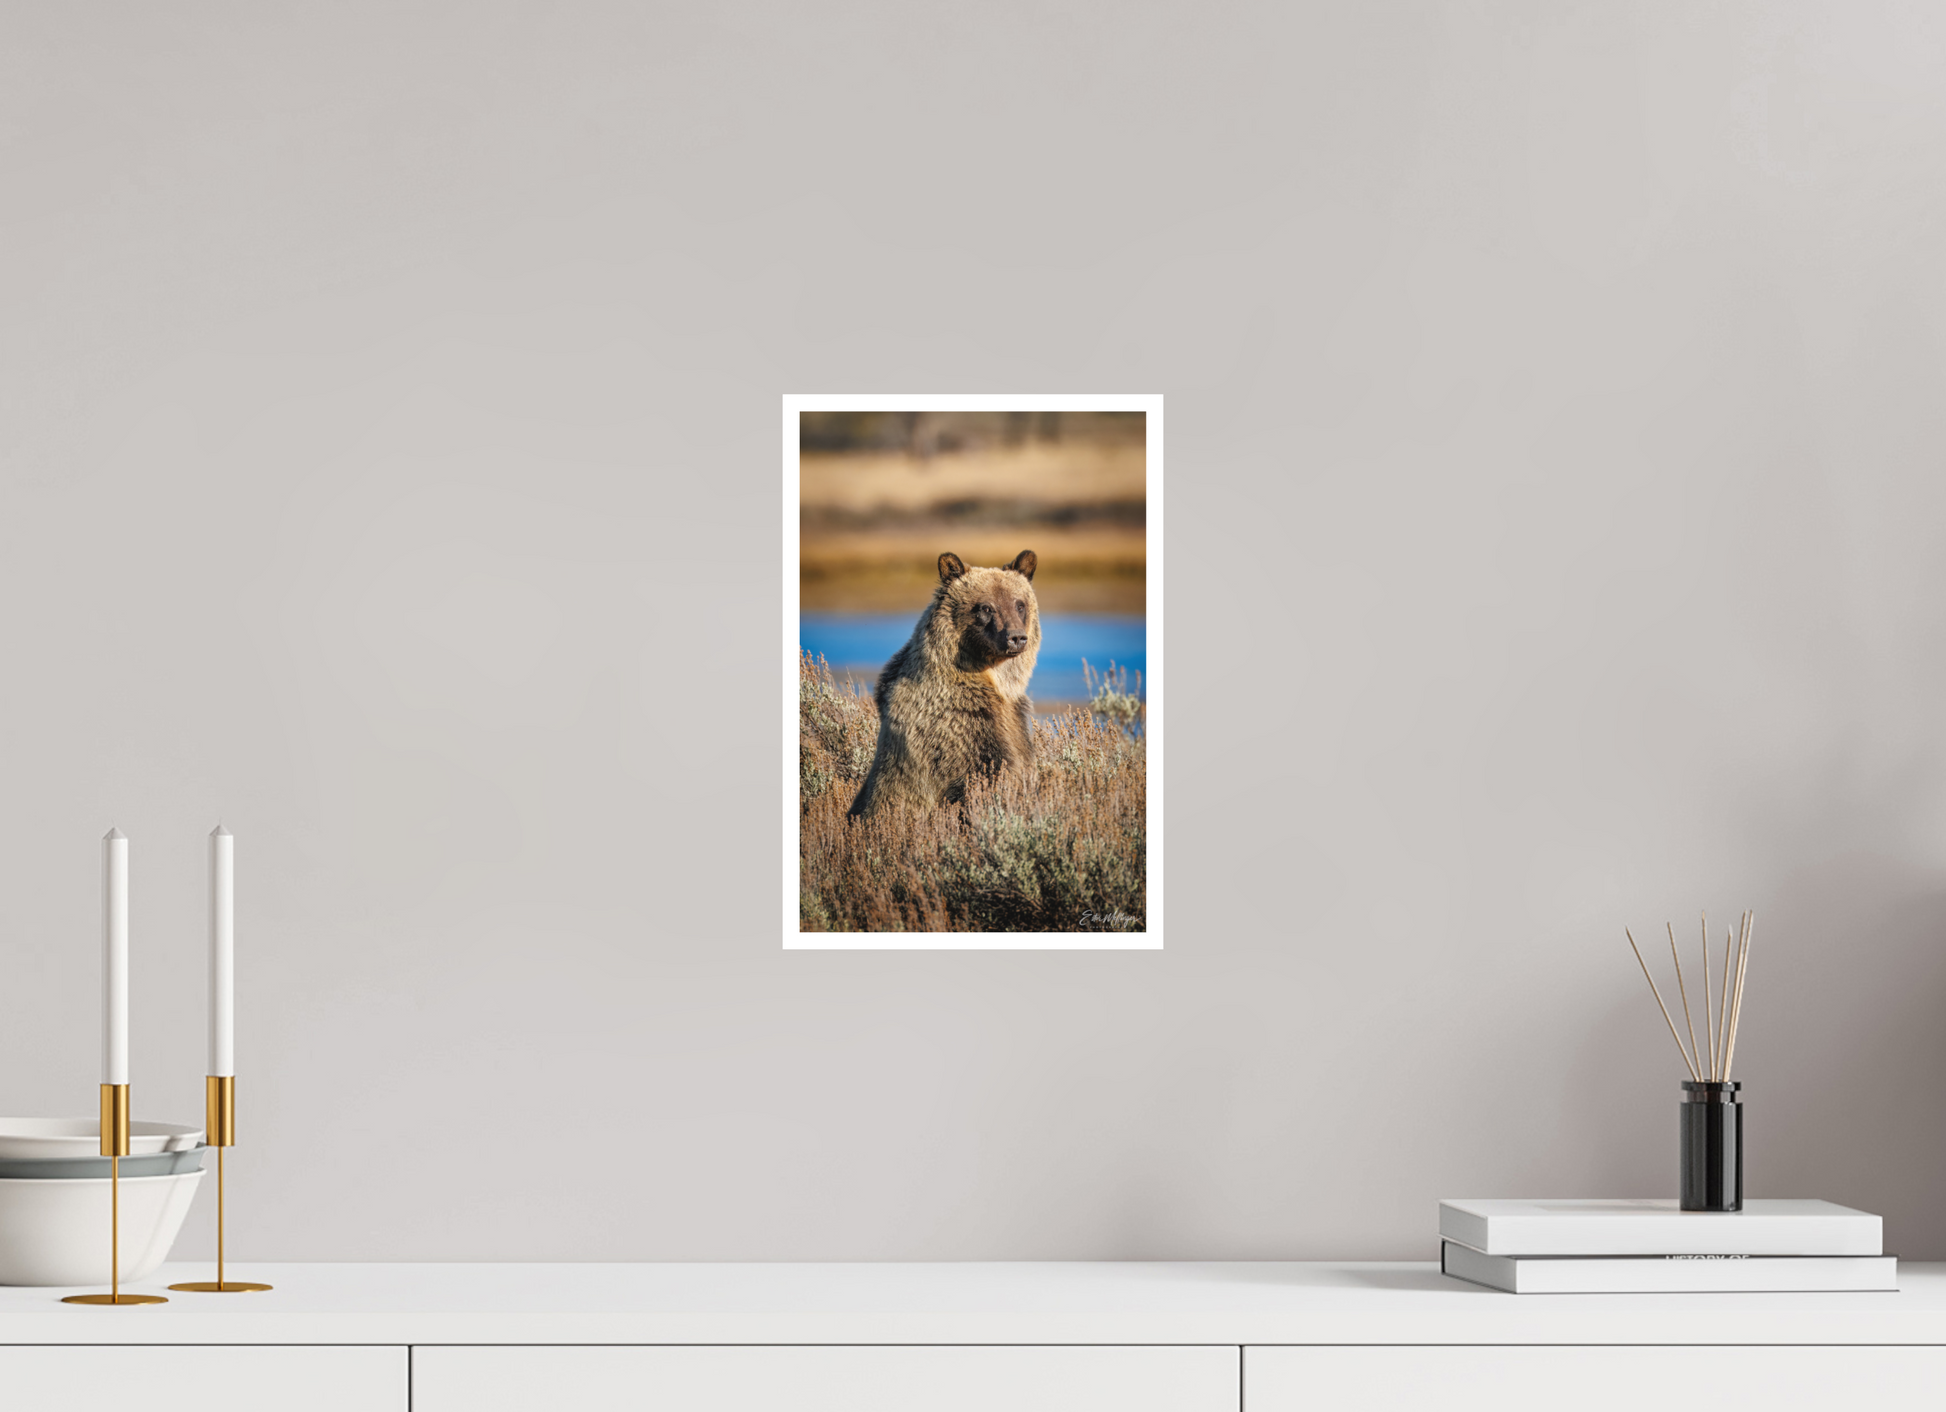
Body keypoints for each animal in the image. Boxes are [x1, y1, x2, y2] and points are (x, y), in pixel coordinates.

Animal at [847, 549, 1041, 818]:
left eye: (1019, 604)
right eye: (986, 607)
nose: (1016, 638)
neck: (993, 680)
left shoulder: (1015, 721)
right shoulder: (959, 723)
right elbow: (982, 777)